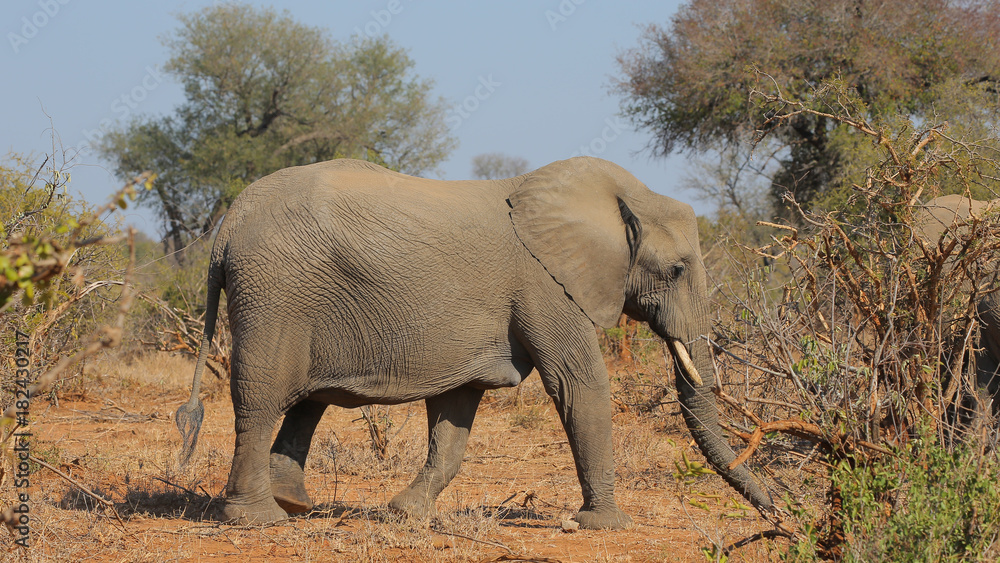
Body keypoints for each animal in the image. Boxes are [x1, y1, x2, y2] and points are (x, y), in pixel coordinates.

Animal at [174, 156, 773, 529]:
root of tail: (226, 228)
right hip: (274, 294)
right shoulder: (546, 283)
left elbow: (456, 411)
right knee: (262, 399)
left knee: (307, 401)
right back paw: (259, 518)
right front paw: (603, 524)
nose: (777, 511)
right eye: (676, 270)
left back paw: (295, 505)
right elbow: (577, 384)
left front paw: (404, 514)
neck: (621, 195)